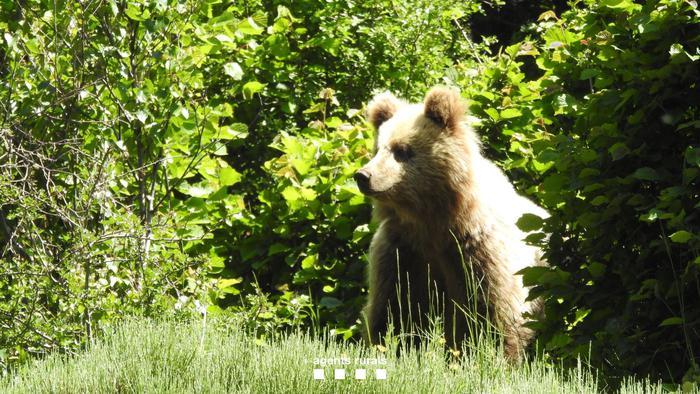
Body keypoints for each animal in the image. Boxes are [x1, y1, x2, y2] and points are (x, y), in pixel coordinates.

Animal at [356, 86, 548, 360]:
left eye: (401, 150)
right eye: (378, 149)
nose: (363, 175)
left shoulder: (477, 250)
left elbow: (497, 311)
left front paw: (496, 355)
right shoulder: (403, 252)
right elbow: (395, 306)